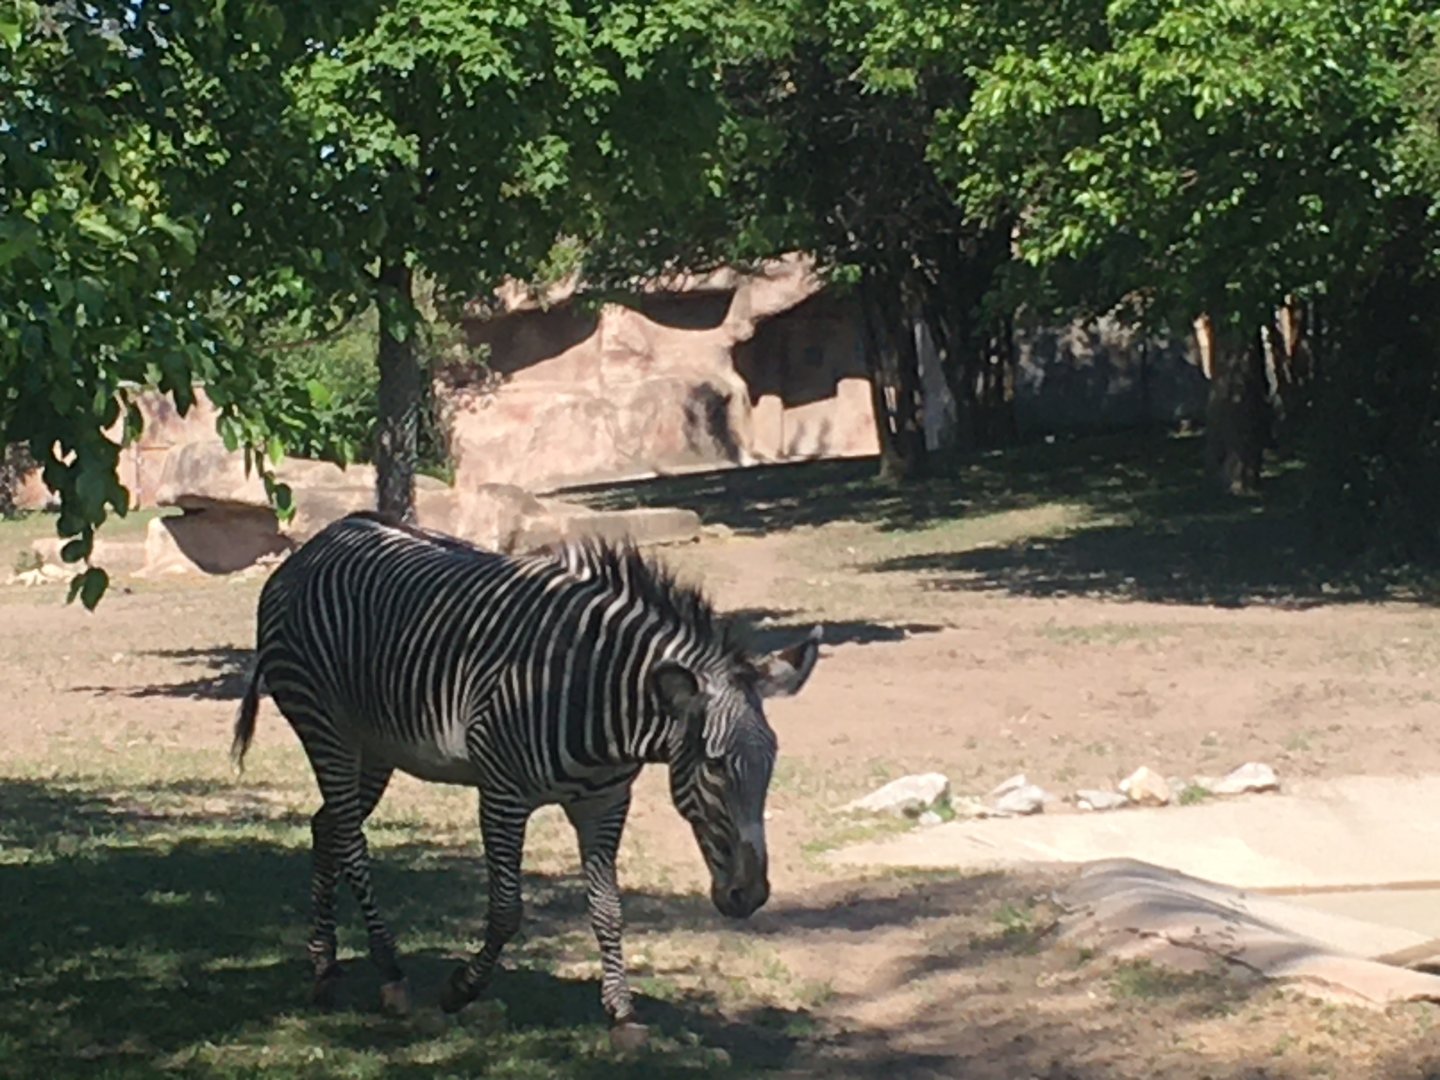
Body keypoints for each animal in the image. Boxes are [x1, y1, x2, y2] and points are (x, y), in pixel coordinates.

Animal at [230, 510, 822, 1044]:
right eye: (714, 764)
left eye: (772, 763)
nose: (750, 896)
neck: (595, 695)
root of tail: (320, 542)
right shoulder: (501, 795)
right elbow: (506, 910)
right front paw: (460, 989)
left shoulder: (606, 801)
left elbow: (608, 908)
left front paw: (622, 1014)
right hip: (325, 727)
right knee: (351, 842)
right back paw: (392, 973)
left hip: (372, 748)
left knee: (327, 827)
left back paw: (325, 969)